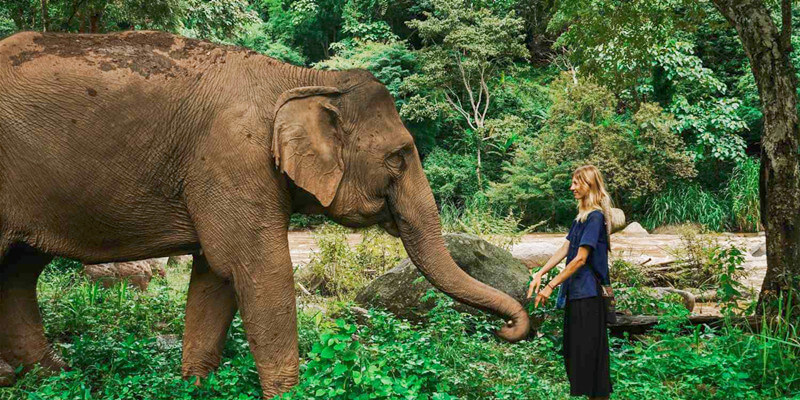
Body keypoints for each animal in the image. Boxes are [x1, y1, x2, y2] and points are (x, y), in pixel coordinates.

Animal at [0, 30, 532, 396]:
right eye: (398, 157)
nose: (506, 330)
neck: (306, 79)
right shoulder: (231, 157)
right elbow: (258, 268)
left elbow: (215, 277)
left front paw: (196, 386)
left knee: (19, 272)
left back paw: (55, 378)